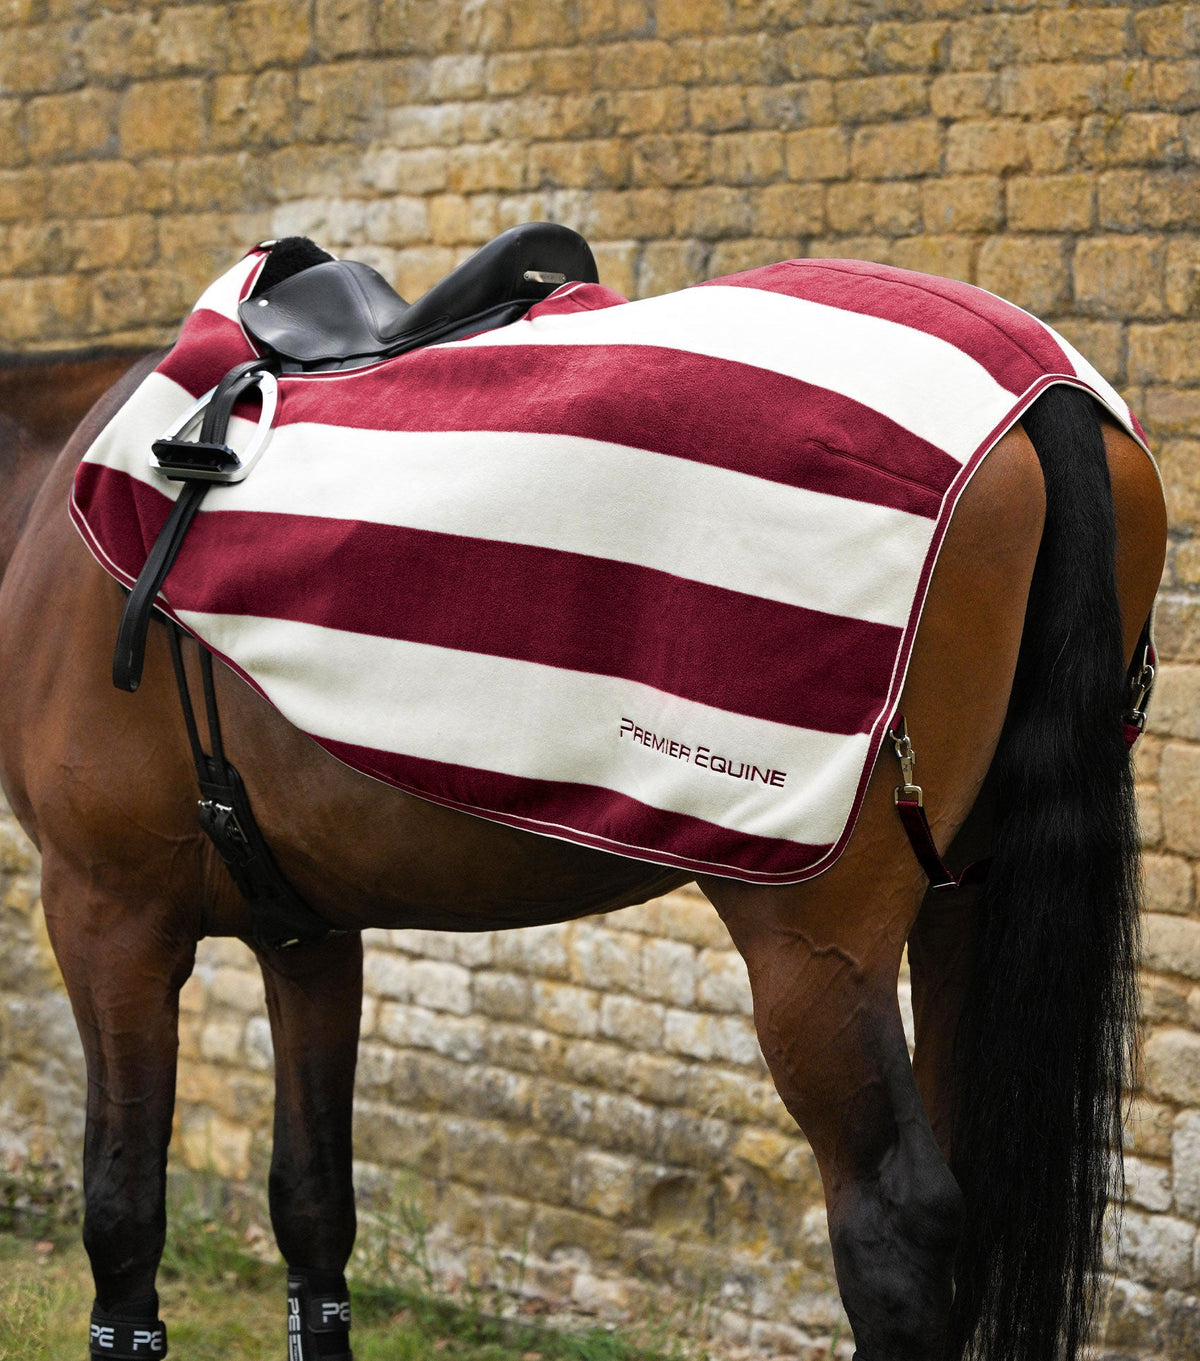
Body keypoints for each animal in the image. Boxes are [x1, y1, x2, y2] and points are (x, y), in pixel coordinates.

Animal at [0, 249, 1168, 1361]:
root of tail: (1042, 391)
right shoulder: (308, 933)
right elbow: (313, 1208)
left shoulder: (106, 914)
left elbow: (122, 1214)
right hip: (964, 904)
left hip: (817, 949)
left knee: (897, 1223)